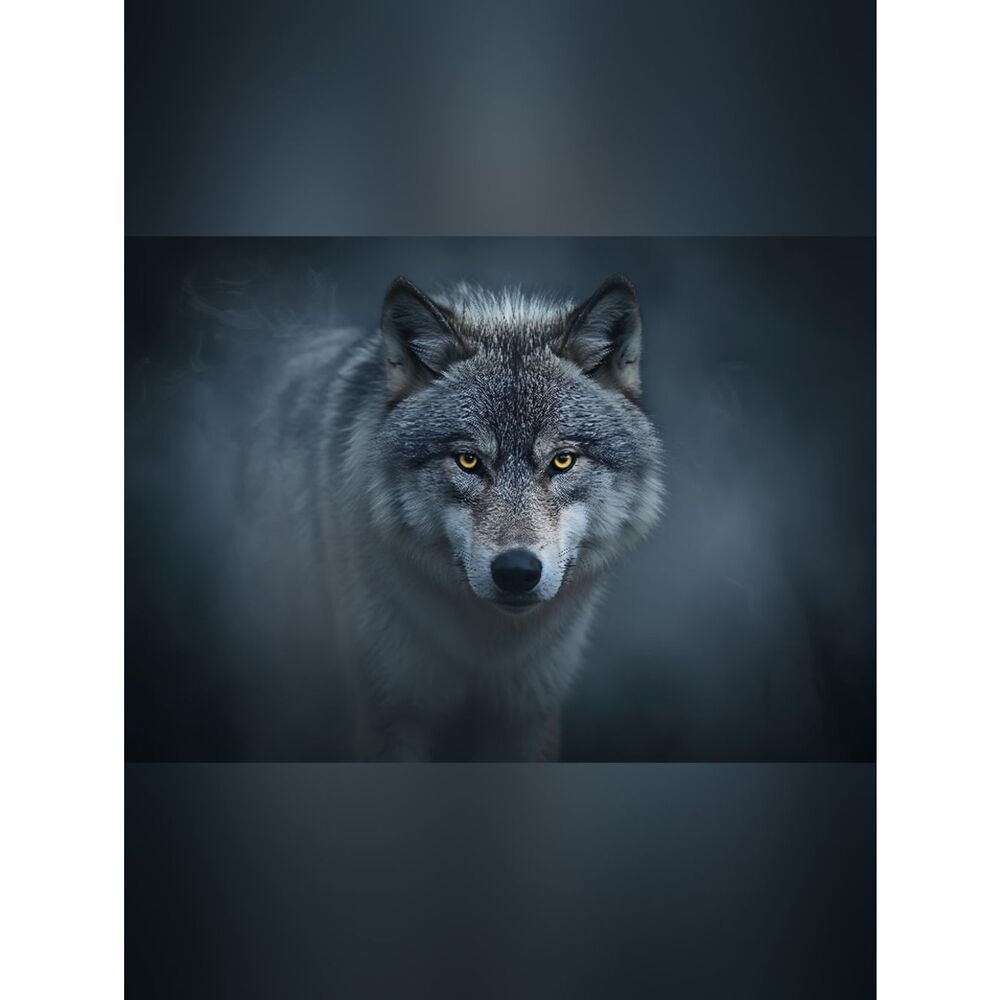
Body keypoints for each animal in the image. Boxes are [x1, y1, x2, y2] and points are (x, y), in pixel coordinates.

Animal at [242, 274, 664, 761]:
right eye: (467, 460)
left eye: (562, 461)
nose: (516, 572)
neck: (489, 647)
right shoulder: (391, 713)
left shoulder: (529, 714)